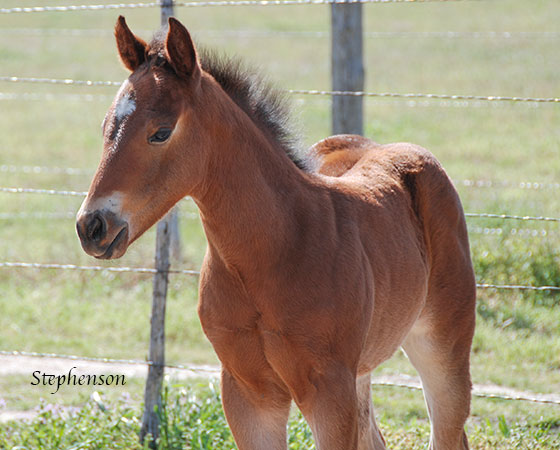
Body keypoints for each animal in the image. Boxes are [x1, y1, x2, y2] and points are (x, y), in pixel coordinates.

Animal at [76, 15, 474, 448]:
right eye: (106, 126)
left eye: (160, 132)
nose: (91, 226)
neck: (275, 250)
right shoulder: (248, 392)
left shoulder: (329, 392)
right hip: (363, 371)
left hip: (443, 350)